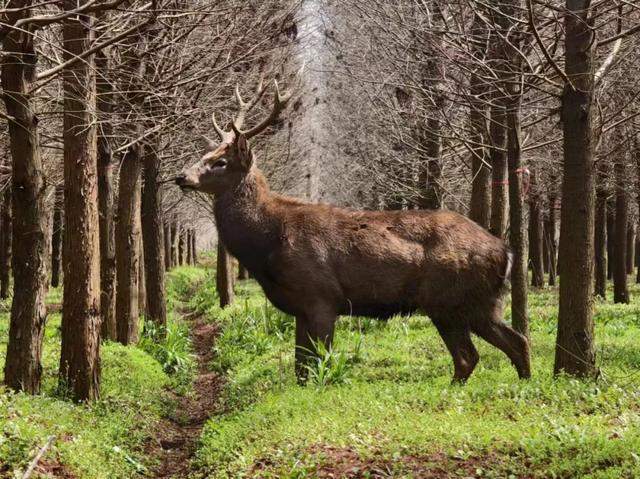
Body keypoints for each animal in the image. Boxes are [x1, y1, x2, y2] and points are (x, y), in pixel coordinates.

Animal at [175, 80, 528, 384]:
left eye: (220, 162)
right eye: (205, 155)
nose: (182, 176)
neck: (268, 243)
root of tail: (505, 251)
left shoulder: (322, 295)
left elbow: (320, 359)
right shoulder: (301, 306)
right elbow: (300, 366)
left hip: (448, 297)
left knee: (470, 354)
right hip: (481, 301)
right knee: (514, 341)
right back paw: (523, 384)